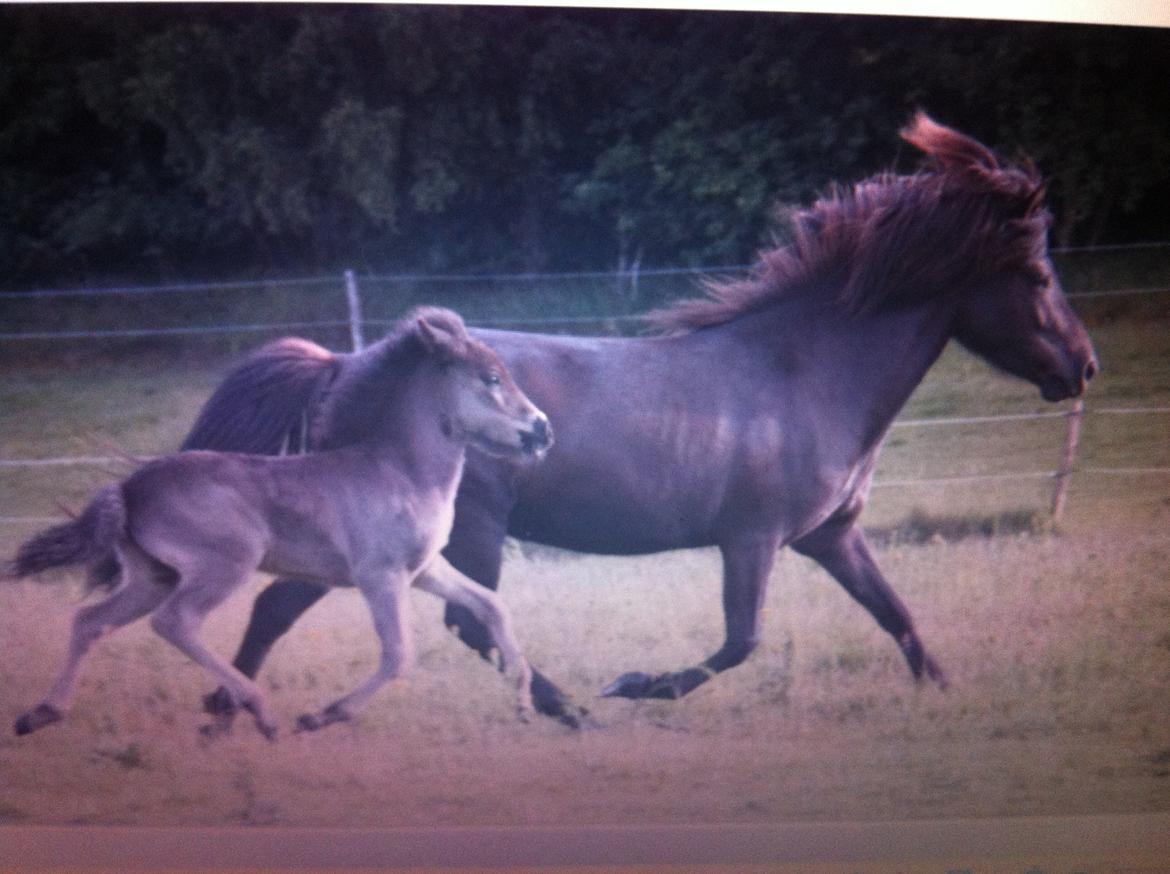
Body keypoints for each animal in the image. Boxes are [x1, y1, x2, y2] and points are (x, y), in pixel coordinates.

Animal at [182, 112, 1095, 730]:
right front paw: (631, 686)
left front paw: (946, 695)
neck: (804, 375)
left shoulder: (831, 536)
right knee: (465, 623)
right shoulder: (754, 538)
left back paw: (229, 715)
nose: (1083, 367)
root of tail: (346, 366)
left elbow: (897, 617)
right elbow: (740, 643)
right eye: (1036, 275)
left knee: (277, 609)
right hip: (464, 526)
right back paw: (570, 714)